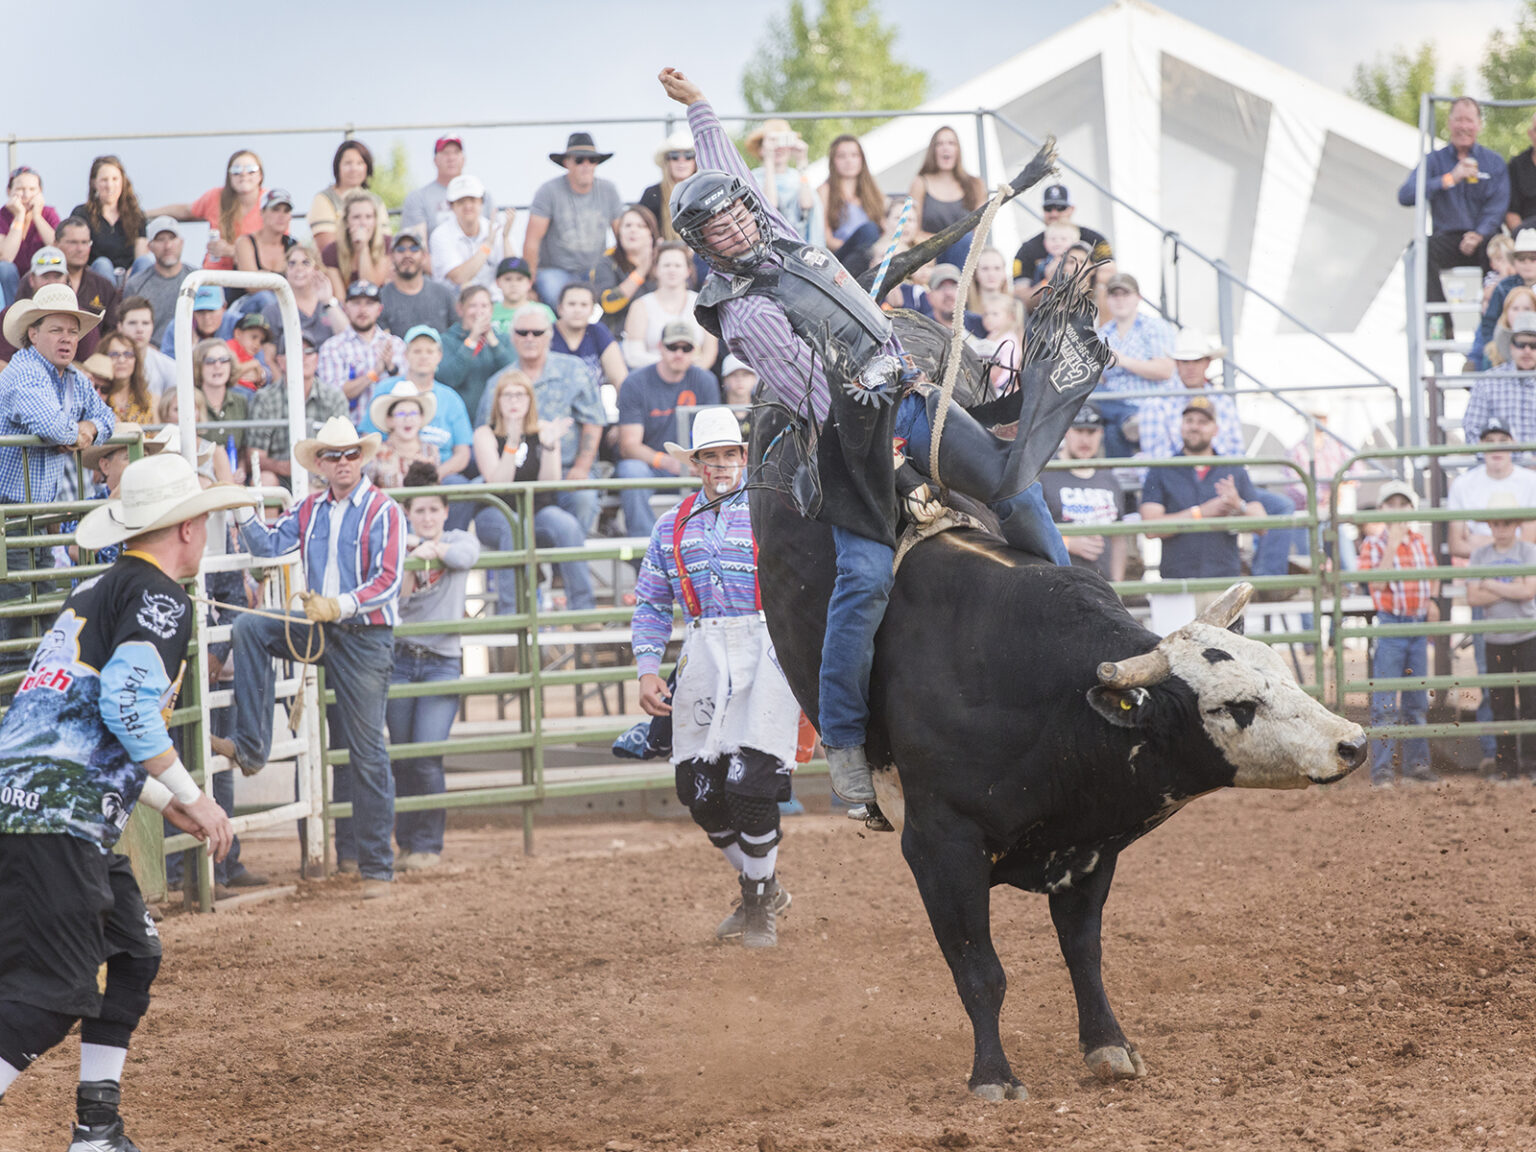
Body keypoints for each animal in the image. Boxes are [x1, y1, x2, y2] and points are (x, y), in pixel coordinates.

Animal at [749, 408, 1368, 1101]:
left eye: (1282, 673)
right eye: (1235, 707)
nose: (1352, 743)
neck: (1031, 691)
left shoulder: (1090, 845)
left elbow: (1083, 952)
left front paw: (1109, 1046)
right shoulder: (940, 848)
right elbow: (980, 970)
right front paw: (993, 1078)